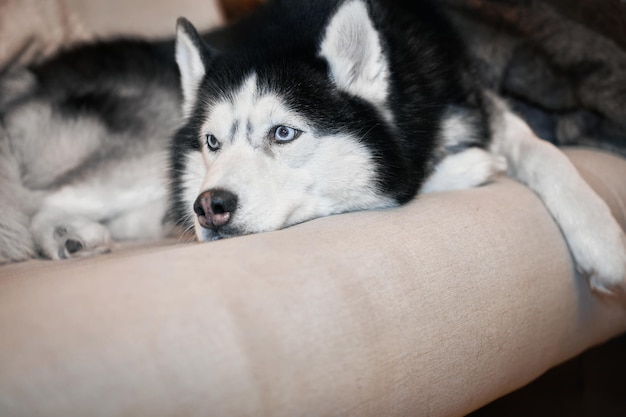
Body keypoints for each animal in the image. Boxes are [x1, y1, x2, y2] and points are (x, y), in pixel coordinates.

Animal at [1, 0, 624, 292]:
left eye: (284, 132)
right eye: (212, 141)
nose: (210, 207)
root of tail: (26, 76)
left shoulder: (480, 102)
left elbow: (542, 150)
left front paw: (602, 241)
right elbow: (399, 180)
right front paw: (466, 166)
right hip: (146, 140)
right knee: (43, 200)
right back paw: (67, 236)